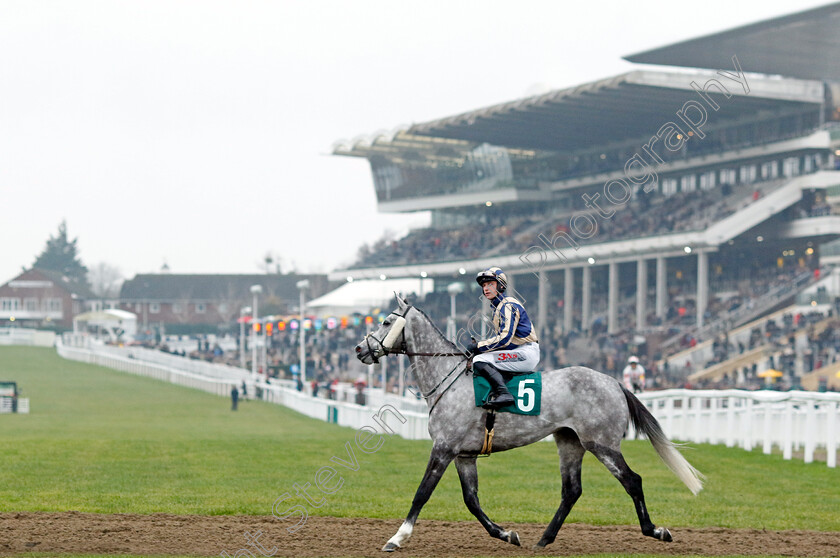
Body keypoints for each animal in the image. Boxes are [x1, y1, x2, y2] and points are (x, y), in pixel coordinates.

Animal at [354, 298, 704, 552]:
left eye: (386, 321)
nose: (359, 349)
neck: (449, 380)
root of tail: (615, 382)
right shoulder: (464, 454)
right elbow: (472, 500)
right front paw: (506, 534)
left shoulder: (443, 448)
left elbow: (422, 493)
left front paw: (397, 538)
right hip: (569, 442)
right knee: (571, 490)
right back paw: (544, 539)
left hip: (601, 444)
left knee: (632, 480)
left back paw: (655, 530)